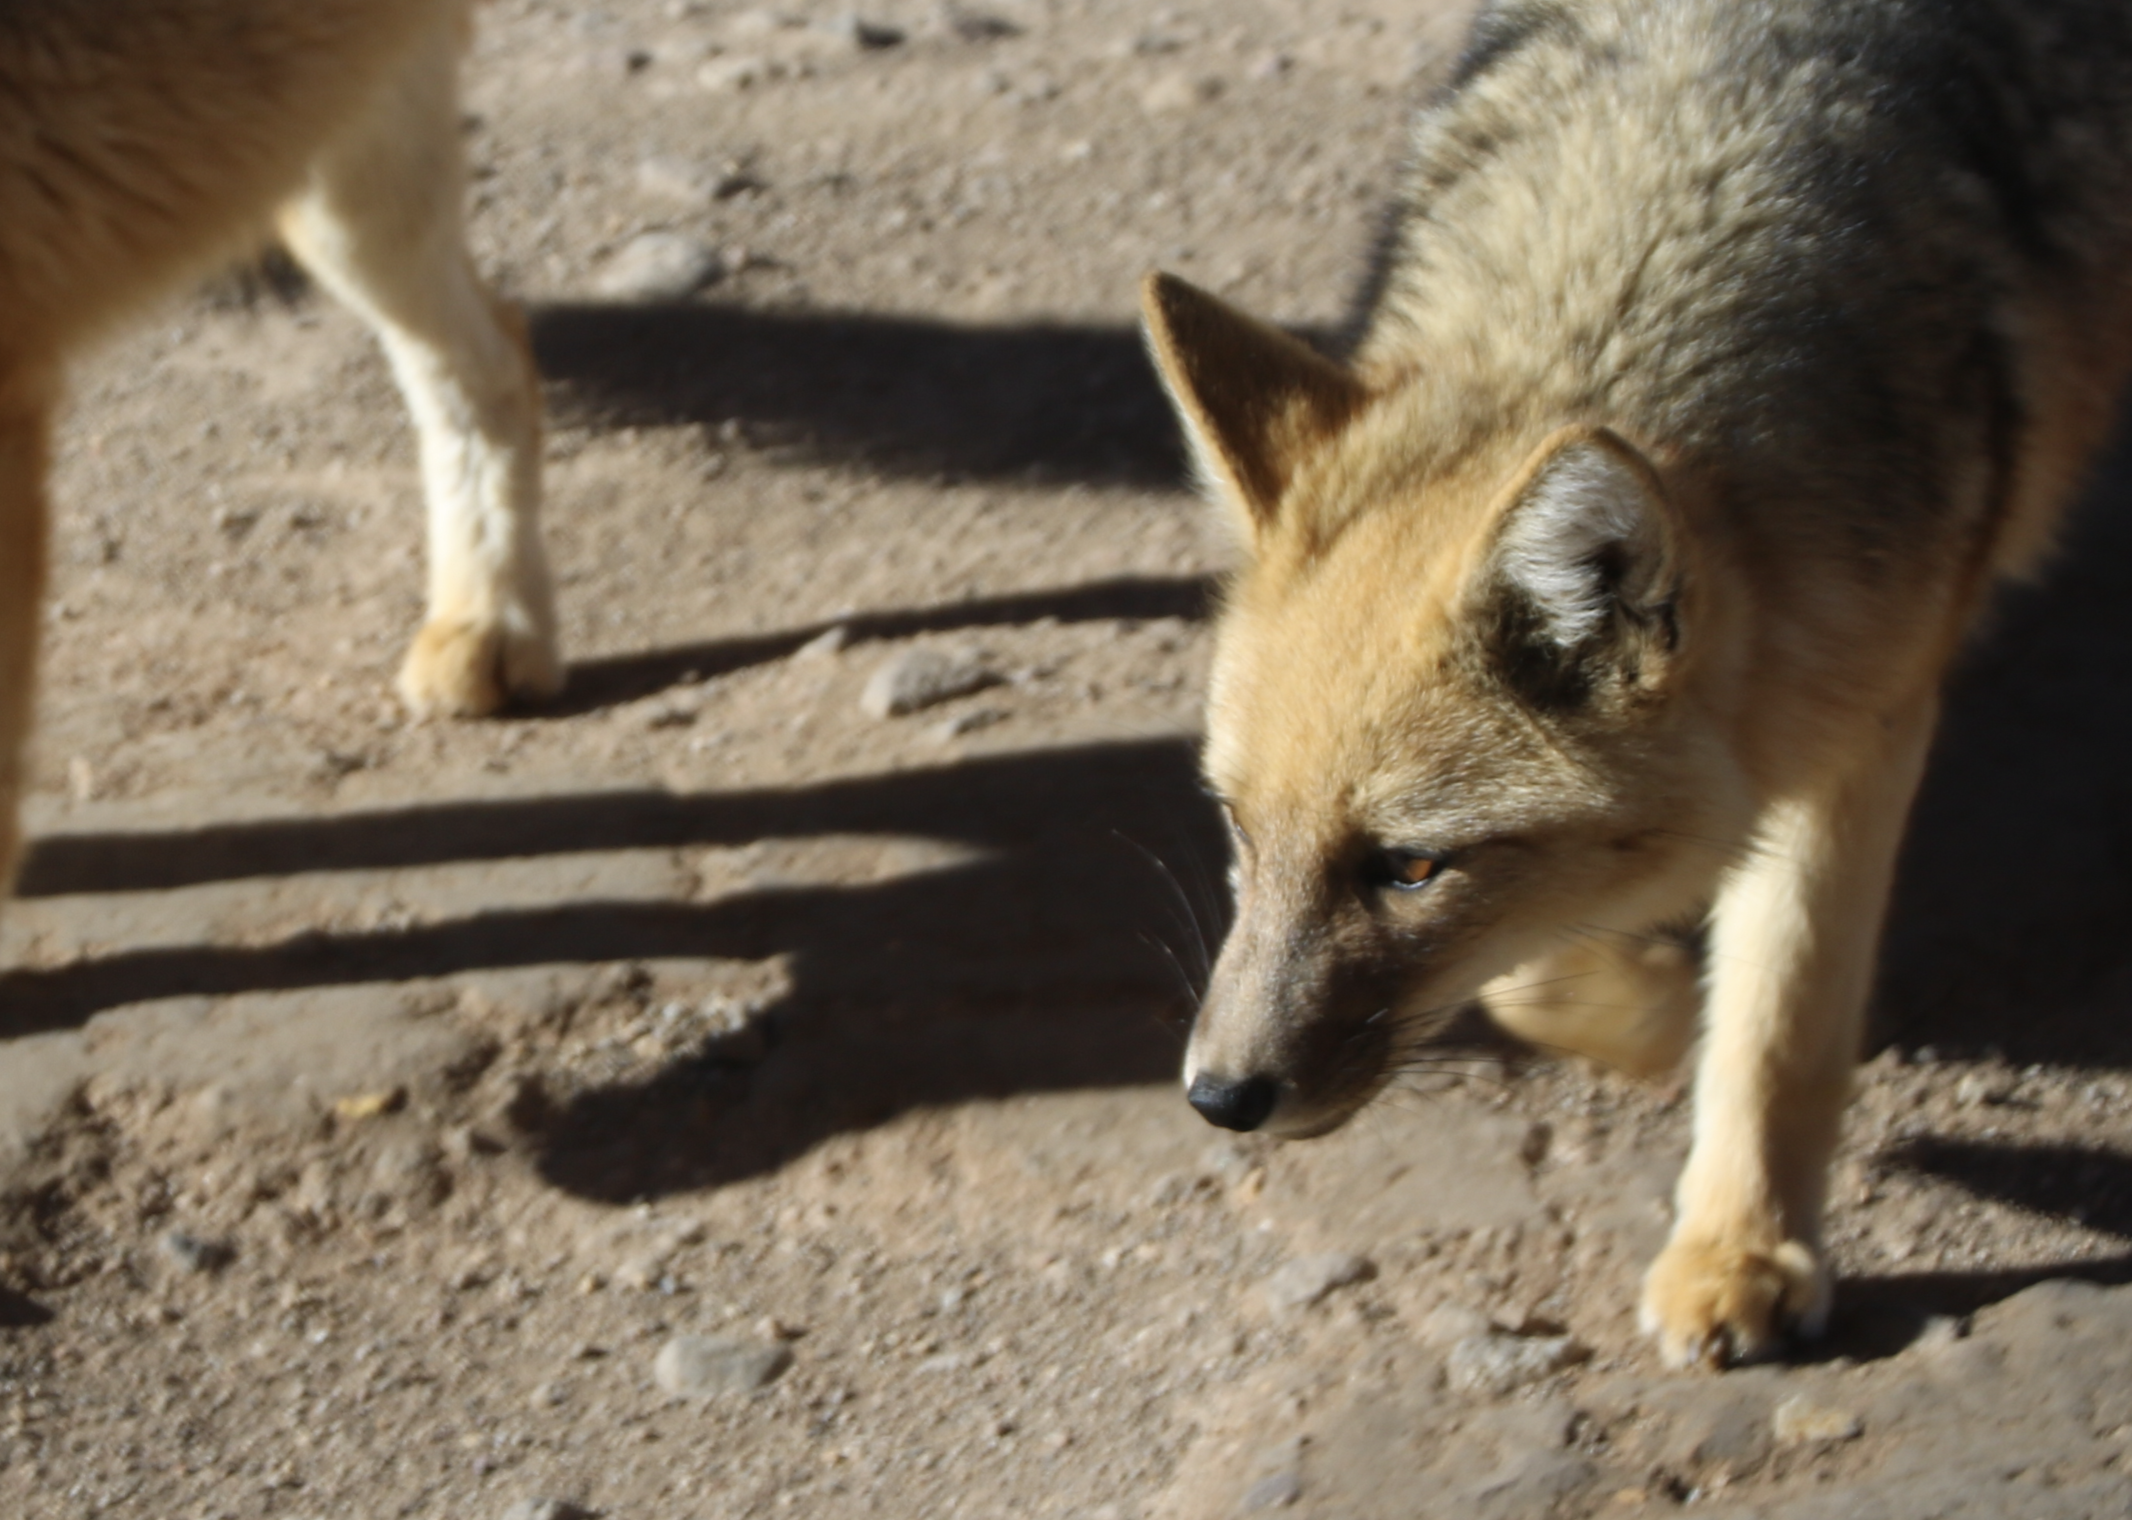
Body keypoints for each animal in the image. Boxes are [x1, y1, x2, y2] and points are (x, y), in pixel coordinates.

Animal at [1142, 0, 2132, 1365]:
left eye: (1408, 867)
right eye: (1239, 826)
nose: (1218, 1096)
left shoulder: (1862, 720)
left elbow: (1779, 1014)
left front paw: (1740, 1245)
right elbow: (1536, 971)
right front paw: (1656, 1009)